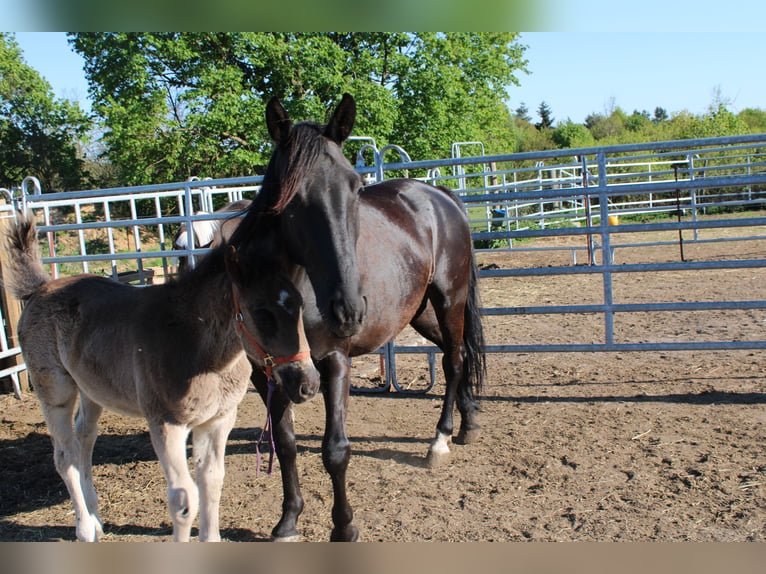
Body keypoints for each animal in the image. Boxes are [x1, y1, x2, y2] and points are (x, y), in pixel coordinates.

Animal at [2, 210, 320, 542]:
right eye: (261, 312)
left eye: (300, 305)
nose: (308, 384)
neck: (195, 346)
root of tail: (38, 290)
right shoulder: (166, 422)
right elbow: (184, 499)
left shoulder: (217, 420)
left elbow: (211, 482)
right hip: (55, 390)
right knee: (65, 456)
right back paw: (85, 529)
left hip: (91, 391)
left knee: (84, 442)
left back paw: (95, 518)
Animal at [228, 94, 486, 541]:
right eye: (291, 197)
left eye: (354, 186)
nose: (348, 310)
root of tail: (438, 194)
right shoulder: (266, 373)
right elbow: (286, 442)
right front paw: (288, 520)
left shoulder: (335, 362)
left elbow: (335, 450)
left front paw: (344, 527)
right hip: (420, 313)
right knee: (461, 354)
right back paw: (467, 422)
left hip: (448, 300)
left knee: (454, 360)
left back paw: (440, 441)